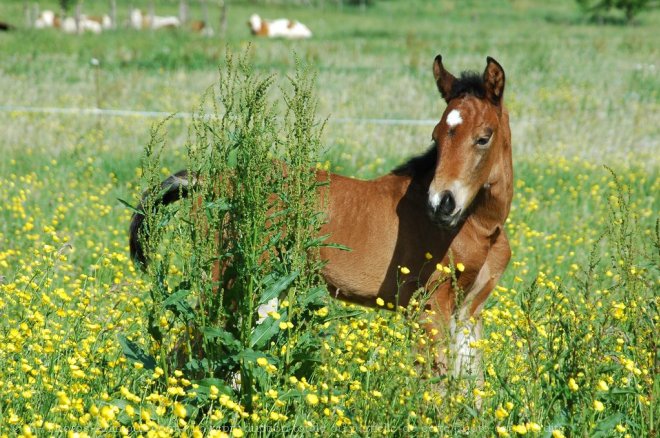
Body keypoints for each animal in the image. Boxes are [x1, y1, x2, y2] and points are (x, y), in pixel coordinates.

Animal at [129, 54, 510, 376]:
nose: (441, 204)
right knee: (191, 346)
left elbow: (469, 386)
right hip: (223, 281)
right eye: (436, 137)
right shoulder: (429, 306)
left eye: (483, 138)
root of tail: (209, 180)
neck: (479, 226)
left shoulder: (469, 311)